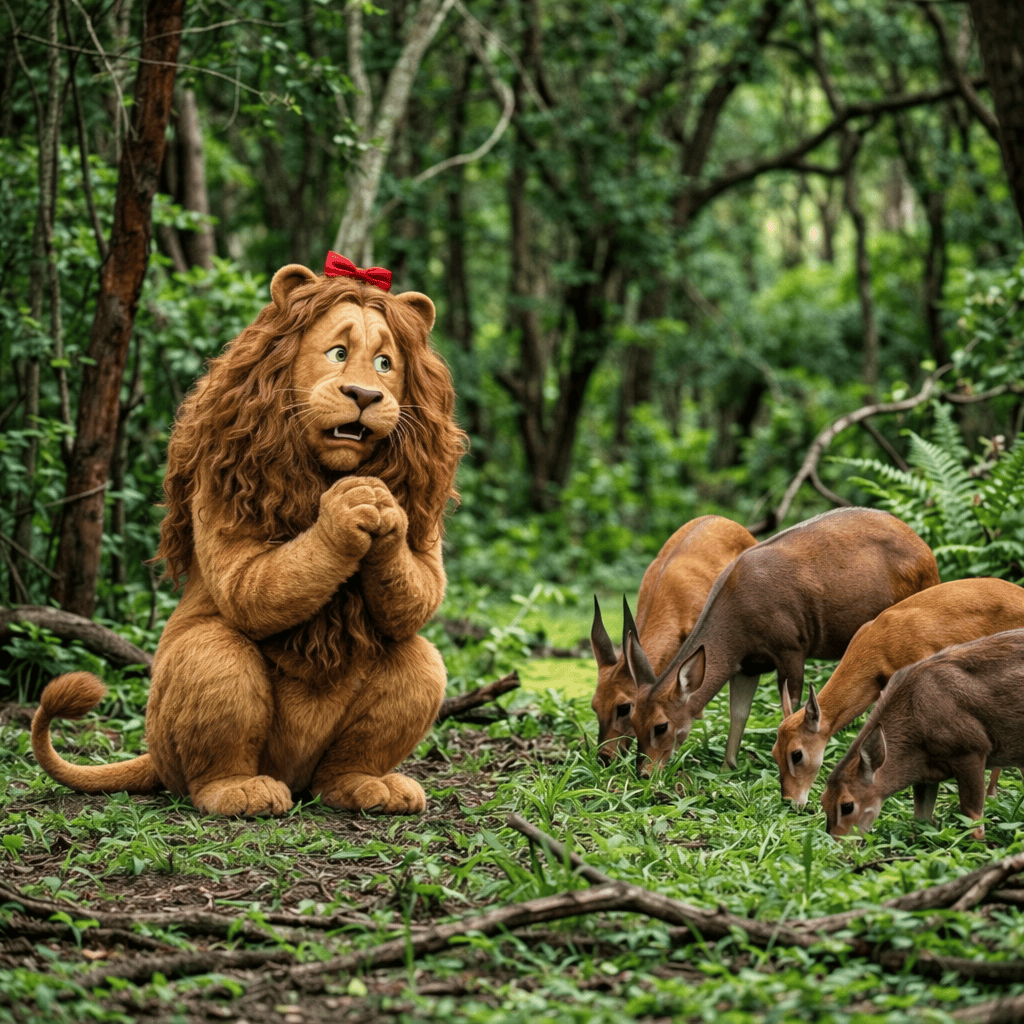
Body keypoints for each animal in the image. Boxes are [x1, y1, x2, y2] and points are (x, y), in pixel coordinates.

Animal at [31, 257, 467, 817]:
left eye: (386, 363)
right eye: (338, 353)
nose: (366, 395)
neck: (325, 466)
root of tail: (294, 777)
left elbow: (424, 593)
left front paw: (381, 505)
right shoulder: (220, 474)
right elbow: (246, 589)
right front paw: (348, 507)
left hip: (350, 735)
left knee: (412, 651)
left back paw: (367, 785)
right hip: (190, 714)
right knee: (215, 660)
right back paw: (239, 791)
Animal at [629, 507, 940, 773]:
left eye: (660, 726)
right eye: (631, 719)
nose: (644, 772)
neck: (737, 625)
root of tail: (928, 555)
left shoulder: (791, 647)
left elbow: (791, 707)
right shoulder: (748, 665)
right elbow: (738, 712)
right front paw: (728, 767)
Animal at [822, 628, 1024, 841]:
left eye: (847, 805)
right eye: (823, 801)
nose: (838, 842)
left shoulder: (973, 750)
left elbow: (974, 823)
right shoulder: (926, 777)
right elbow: (921, 820)